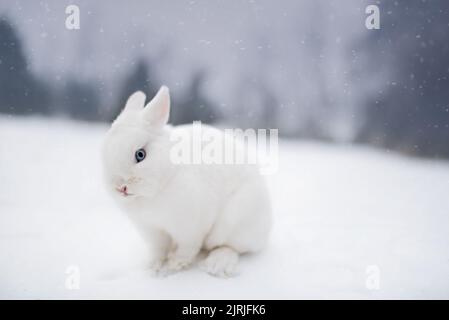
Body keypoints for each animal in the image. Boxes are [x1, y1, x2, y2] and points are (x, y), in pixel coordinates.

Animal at [101, 85, 270, 278]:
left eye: (140, 155)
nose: (120, 187)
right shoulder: (153, 231)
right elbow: (158, 250)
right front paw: (152, 268)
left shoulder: (190, 229)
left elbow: (187, 249)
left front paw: (173, 266)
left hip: (233, 224)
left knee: (231, 247)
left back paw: (217, 264)